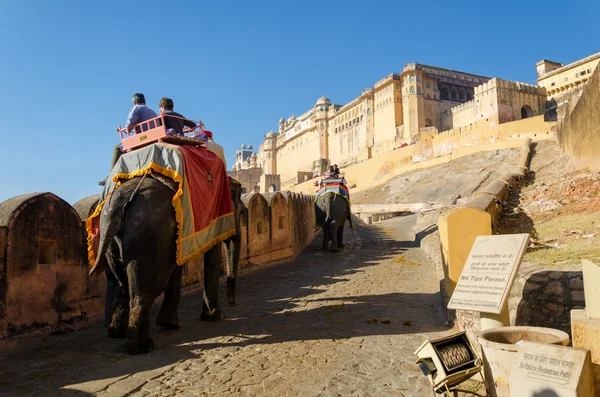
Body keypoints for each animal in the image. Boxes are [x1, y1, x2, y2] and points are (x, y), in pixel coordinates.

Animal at [93, 175, 241, 354]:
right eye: (240, 210)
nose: (232, 303)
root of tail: (119, 202)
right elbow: (212, 257)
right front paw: (215, 317)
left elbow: (177, 267)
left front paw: (169, 324)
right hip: (150, 235)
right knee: (147, 290)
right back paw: (142, 347)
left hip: (113, 239)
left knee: (123, 283)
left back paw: (116, 333)